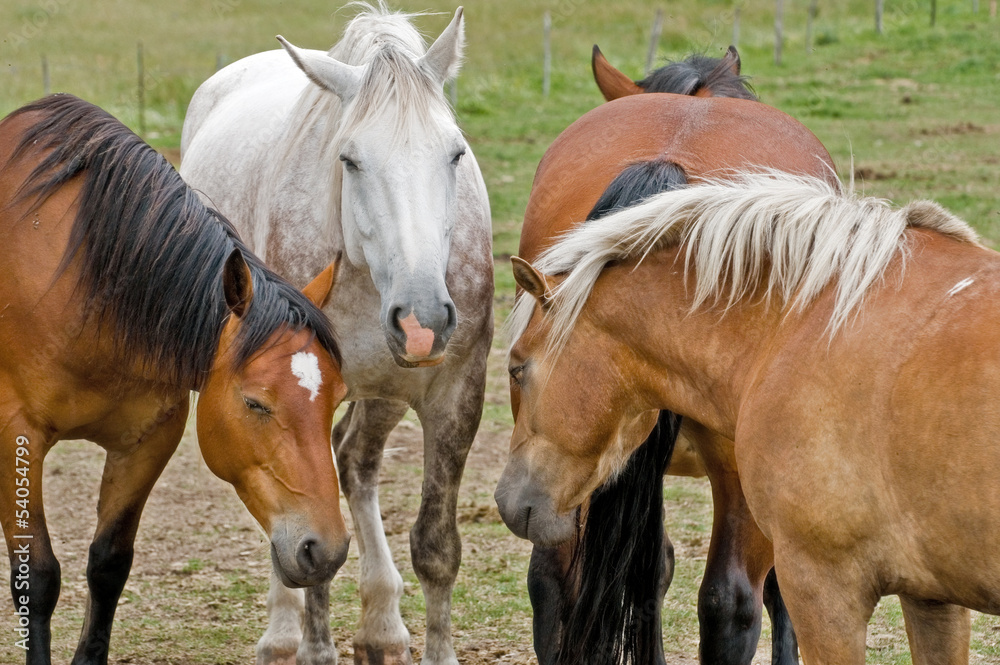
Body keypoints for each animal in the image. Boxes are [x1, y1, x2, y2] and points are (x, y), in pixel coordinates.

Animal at [0, 94, 352, 664]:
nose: (325, 550)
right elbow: (37, 577)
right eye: (256, 403)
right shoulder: (16, 436)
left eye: (336, 401)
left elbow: (108, 564)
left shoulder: (148, 440)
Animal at [182, 5, 494, 664]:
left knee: (355, 462)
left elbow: (436, 546)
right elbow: (311, 552)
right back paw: (283, 634)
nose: (423, 320)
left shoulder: (454, 394)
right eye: (349, 159)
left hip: (384, 392)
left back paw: (382, 625)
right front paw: (314, 647)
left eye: (455, 154)